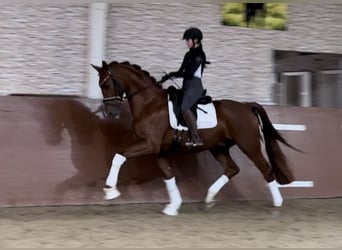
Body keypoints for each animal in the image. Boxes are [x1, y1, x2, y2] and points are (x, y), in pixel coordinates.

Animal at [92, 60, 298, 215]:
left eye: (106, 85)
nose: (110, 113)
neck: (150, 103)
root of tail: (246, 106)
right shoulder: (158, 150)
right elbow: (169, 175)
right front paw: (173, 207)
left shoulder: (149, 145)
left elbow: (119, 156)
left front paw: (110, 191)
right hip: (218, 147)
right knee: (232, 169)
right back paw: (209, 197)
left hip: (249, 145)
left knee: (266, 170)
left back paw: (277, 204)